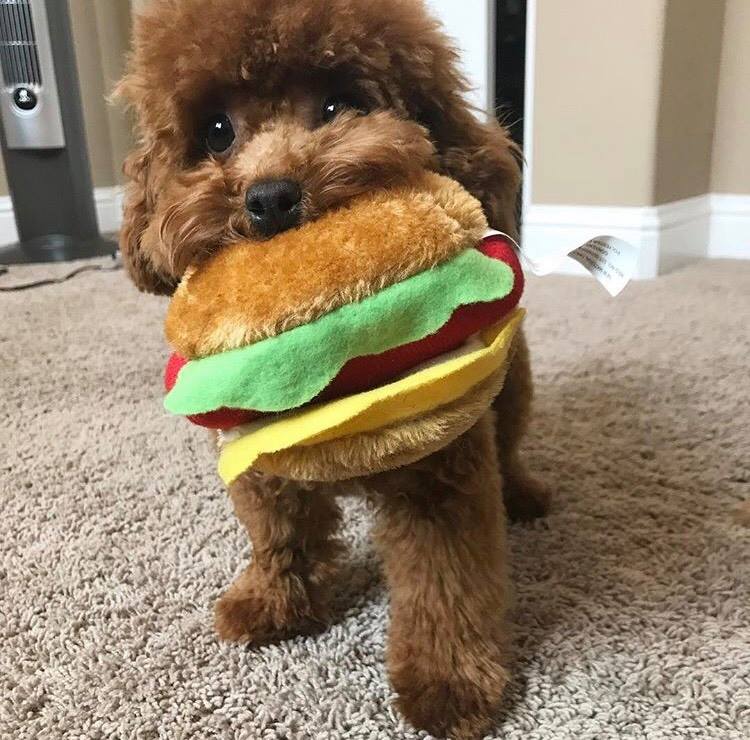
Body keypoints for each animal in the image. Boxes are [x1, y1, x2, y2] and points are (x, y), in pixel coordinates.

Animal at [119, 1, 552, 736]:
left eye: (336, 104)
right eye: (216, 131)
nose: (270, 197)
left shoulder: (441, 479)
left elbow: (447, 584)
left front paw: (449, 683)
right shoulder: (261, 465)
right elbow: (279, 535)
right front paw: (272, 601)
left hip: (512, 387)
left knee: (512, 444)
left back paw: (523, 494)